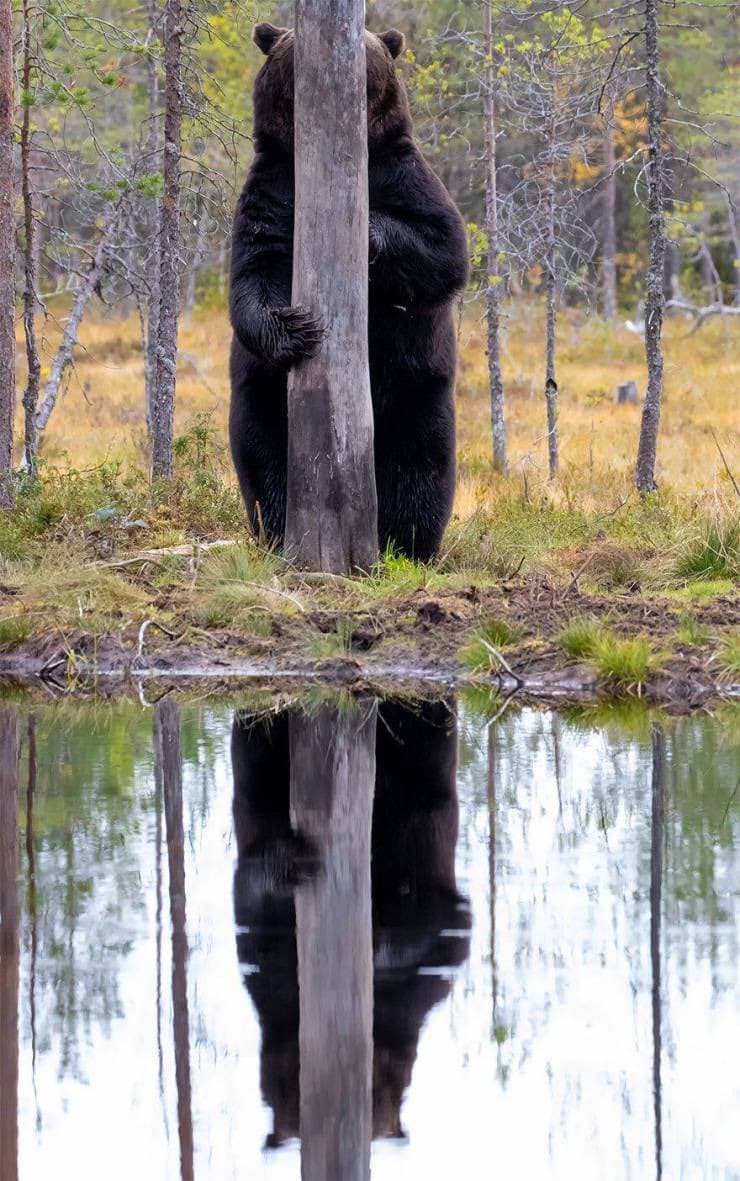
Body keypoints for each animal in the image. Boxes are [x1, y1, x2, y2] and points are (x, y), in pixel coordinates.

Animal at [229, 23, 469, 562]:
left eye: (368, 44)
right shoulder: (273, 189)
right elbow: (253, 273)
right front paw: (296, 328)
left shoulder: (402, 173)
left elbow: (443, 248)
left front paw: (369, 230)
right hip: (262, 398)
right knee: (264, 459)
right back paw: (278, 530)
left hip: (417, 392)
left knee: (420, 467)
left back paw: (408, 544)